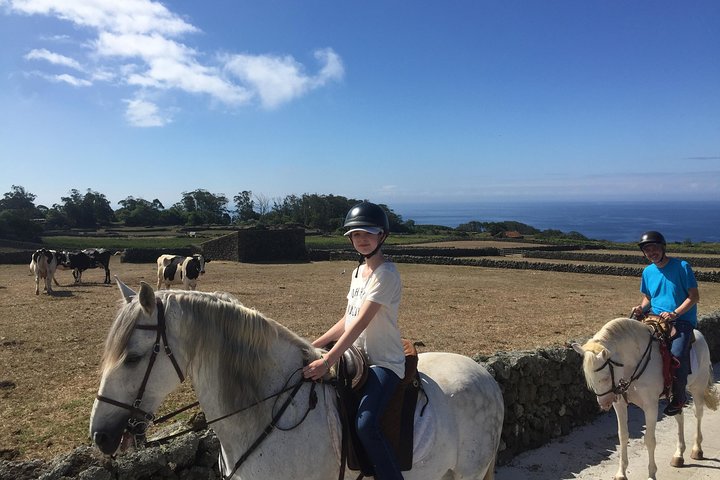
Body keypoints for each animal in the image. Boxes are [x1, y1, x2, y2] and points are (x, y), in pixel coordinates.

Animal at [572, 318, 720, 480]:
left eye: (605, 378)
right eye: (590, 380)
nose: (604, 404)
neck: (634, 363)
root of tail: (699, 335)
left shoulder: (650, 406)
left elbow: (649, 440)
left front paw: (652, 474)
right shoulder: (620, 404)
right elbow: (623, 436)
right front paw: (621, 473)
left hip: (697, 387)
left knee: (698, 413)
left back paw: (697, 449)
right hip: (675, 397)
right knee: (679, 416)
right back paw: (679, 455)